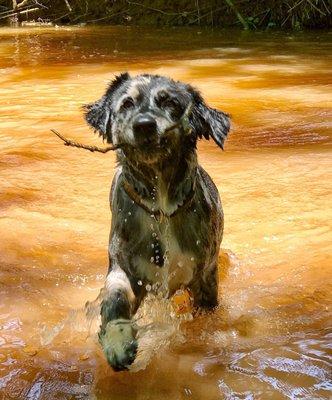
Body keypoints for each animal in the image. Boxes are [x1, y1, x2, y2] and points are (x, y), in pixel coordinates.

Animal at [84, 73, 230, 370]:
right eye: (127, 104)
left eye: (170, 103)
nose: (143, 125)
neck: (161, 209)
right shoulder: (125, 268)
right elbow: (115, 298)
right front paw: (118, 340)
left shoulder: (204, 275)